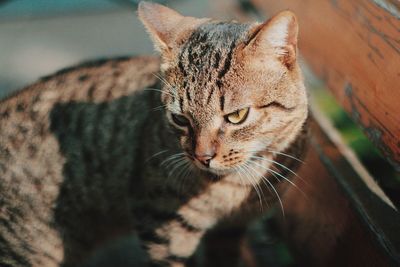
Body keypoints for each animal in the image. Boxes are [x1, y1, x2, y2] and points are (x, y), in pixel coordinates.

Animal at [0, 2, 310, 267]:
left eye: (237, 116)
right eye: (180, 118)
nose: (202, 157)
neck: (239, 185)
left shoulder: (229, 230)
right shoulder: (160, 223)